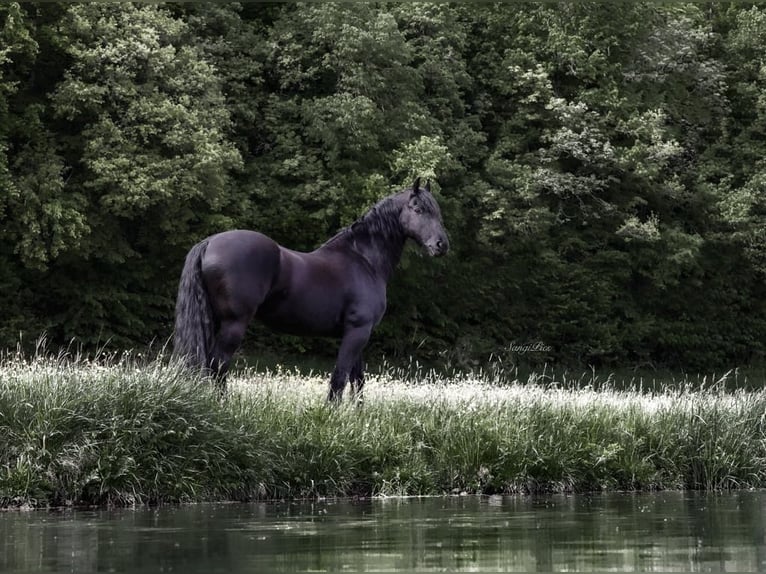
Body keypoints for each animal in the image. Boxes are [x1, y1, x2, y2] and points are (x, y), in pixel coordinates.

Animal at [174, 179, 450, 400]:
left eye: (437, 212)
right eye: (418, 209)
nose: (441, 245)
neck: (363, 258)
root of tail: (210, 242)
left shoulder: (359, 334)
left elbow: (357, 381)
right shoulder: (357, 332)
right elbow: (340, 378)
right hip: (234, 323)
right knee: (218, 365)